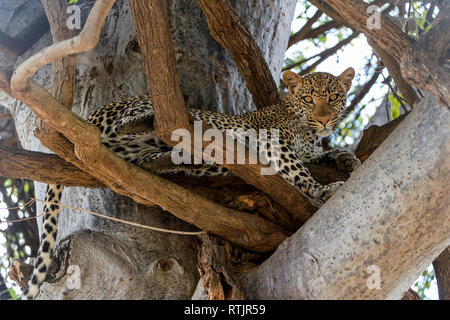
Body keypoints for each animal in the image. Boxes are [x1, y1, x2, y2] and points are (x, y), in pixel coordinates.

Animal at [21, 68, 360, 300]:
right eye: (308, 99)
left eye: (333, 98)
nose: (325, 119)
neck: (306, 129)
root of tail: (90, 116)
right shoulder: (275, 142)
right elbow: (298, 170)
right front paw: (321, 189)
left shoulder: (312, 150)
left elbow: (331, 153)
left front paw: (350, 161)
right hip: (138, 109)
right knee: (132, 127)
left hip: (137, 146)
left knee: (139, 154)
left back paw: (185, 159)